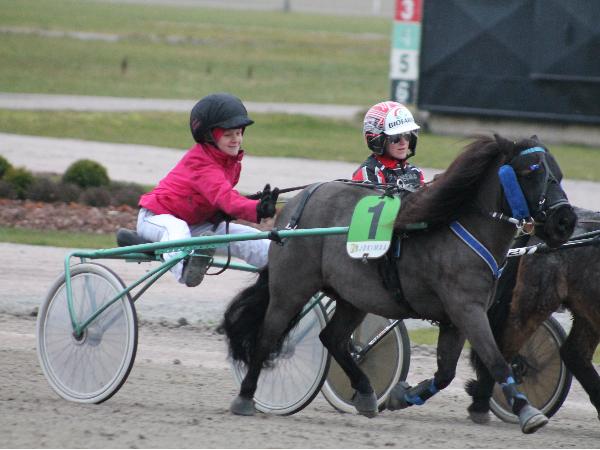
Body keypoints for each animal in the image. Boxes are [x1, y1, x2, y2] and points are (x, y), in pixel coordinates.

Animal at [221, 134, 577, 434]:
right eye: (531, 171)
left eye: (558, 173)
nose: (565, 221)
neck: (458, 226)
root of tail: (298, 204)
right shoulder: (467, 310)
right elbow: (496, 359)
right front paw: (526, 410)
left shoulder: (455, 320)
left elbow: (446, 374)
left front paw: (402, 395)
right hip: (291, 288)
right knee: (268, 336)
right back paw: (245, 397)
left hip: (353, 296)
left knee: (332, 338)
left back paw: (366, 393)